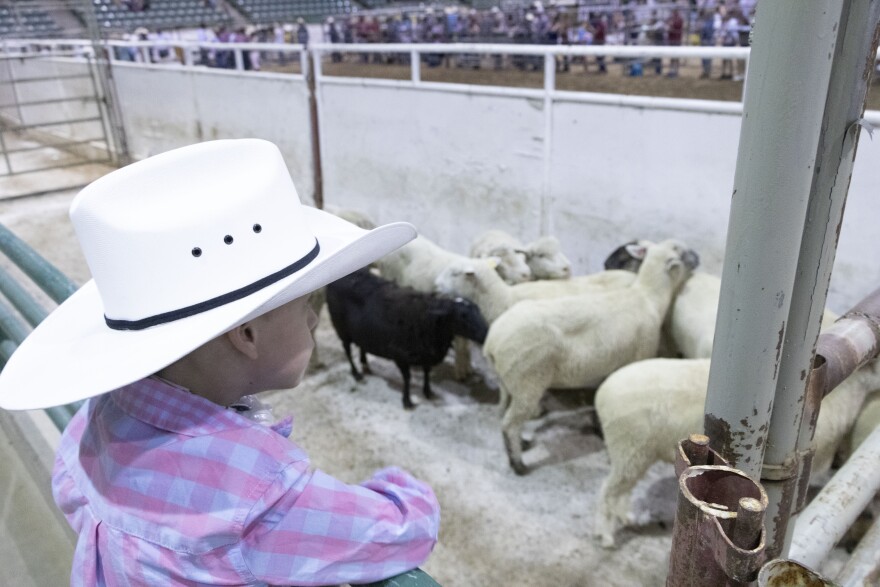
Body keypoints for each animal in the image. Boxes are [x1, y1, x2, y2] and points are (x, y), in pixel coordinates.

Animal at [324, 268, 488, 408]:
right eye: (462, 316)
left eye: (478, 310)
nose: (486, 333)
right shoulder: (400, 355)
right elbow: (407, 378)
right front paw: (407, 401)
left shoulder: (426, 354)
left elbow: (427, 372)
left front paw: (428, 392)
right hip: (342, 329)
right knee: (347, 350)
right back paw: (356, 373)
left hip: (361, 331)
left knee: (361, 345)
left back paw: (365, 364)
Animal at [484, 241, 696, 476]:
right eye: (681, 252)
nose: (698, 259)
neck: (647, 297)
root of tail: (492, 341)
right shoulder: (638, 355)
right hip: (527, 381)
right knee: (510, 424)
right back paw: (518, 463)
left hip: (508, 381)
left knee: (506, 416)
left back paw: (522, 443)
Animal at [592, 354, 880, 552]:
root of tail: (602, 393)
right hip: (629, 448)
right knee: (609, 490)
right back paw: (606, 535)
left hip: (636, 453)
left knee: (622, 489)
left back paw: (625, 517)